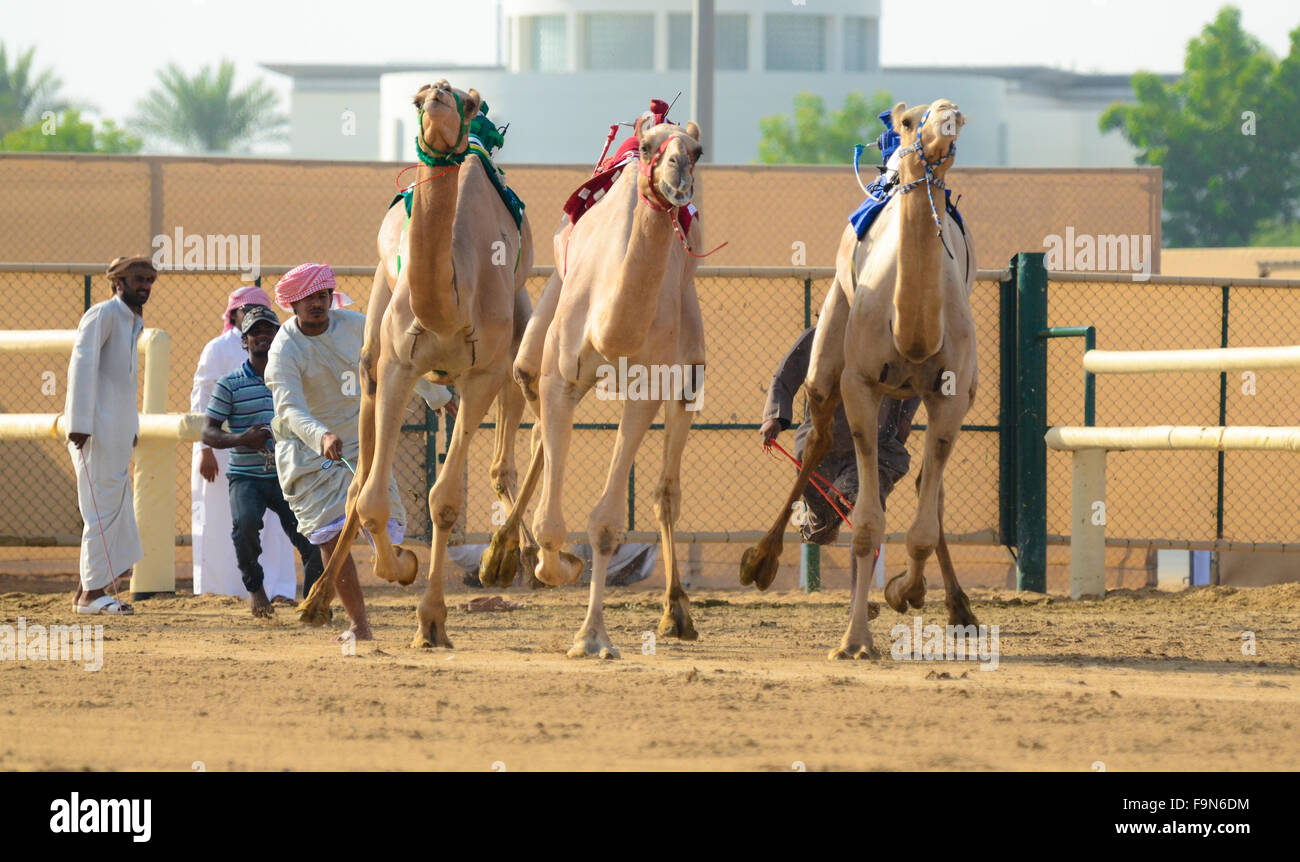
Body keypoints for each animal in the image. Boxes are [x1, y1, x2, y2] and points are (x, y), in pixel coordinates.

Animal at [299, 80, 533, 650]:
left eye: (460, 102)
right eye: (418, 97)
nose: (436, 93)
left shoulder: (482, 375)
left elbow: (444, 501)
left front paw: (431, 622)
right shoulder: (398, 367)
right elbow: (369, 498)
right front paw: (400, 566)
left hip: (517, 327)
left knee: (514, 427)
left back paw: (513, 558)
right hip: (374, 337)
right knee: (357, 480)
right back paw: (315, 602)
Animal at [738, 97, 977, 660]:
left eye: (957, 119)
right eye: (910, 121)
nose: (947, 114)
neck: (912, 330)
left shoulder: (951, 395)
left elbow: (923, 522)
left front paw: (904, 592)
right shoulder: (862, 385)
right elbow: (866, 522)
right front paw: (853, 642)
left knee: (925, 484)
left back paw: (958, 607)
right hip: (830, 347)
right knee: (818, 438)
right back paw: (761, 559)